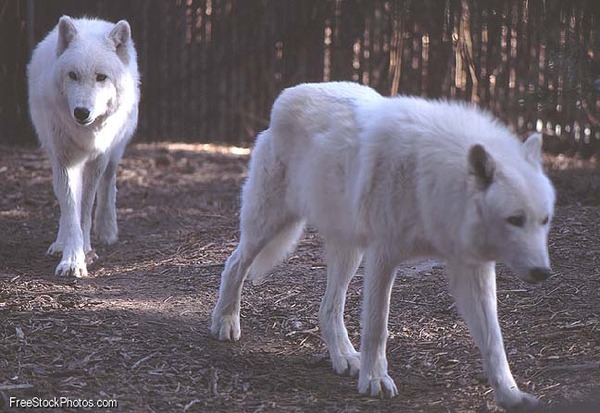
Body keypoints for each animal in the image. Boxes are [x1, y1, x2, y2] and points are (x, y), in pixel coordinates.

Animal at [28, 15, 141, 276]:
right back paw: (60, 243)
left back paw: (107, 230)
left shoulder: (97, 160)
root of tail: (91, 20)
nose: (81, 112)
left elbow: (86, 209)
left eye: (101, 77)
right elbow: (70, 207)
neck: (85, 133)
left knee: (108, 183)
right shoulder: (63, 160)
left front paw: (85, 251)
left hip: (114, 152)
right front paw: (71, 258)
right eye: (72, 75)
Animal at [213, 81, 556, 408]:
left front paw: (511, 395)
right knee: (234, 264)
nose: (543, 272)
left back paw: (344, 357)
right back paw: (226, 322)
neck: (432, 180)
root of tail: (286, 95)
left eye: (544, 220)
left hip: (349, 252)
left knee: (328, 307)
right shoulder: (383, 255)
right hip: (268, 225)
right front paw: (375, 380)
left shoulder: (472, 268)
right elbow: (377, 326)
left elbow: (493, 339)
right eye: (515, 219)